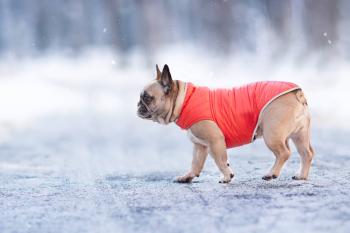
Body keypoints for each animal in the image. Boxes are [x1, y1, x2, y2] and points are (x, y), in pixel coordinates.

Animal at [137, 64, 314, 183]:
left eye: (147, 98)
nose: (138, 106)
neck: (183, 100)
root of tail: (297, 93)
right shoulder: (200, 146)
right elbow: (195, 163)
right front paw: (187, 177)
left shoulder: (215, 141)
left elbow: (220, 160)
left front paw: (227, 176)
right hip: (300, 135)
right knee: (306, 153)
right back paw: (302, 176)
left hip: (272, 134)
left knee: (284, 153)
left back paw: (271, 174)